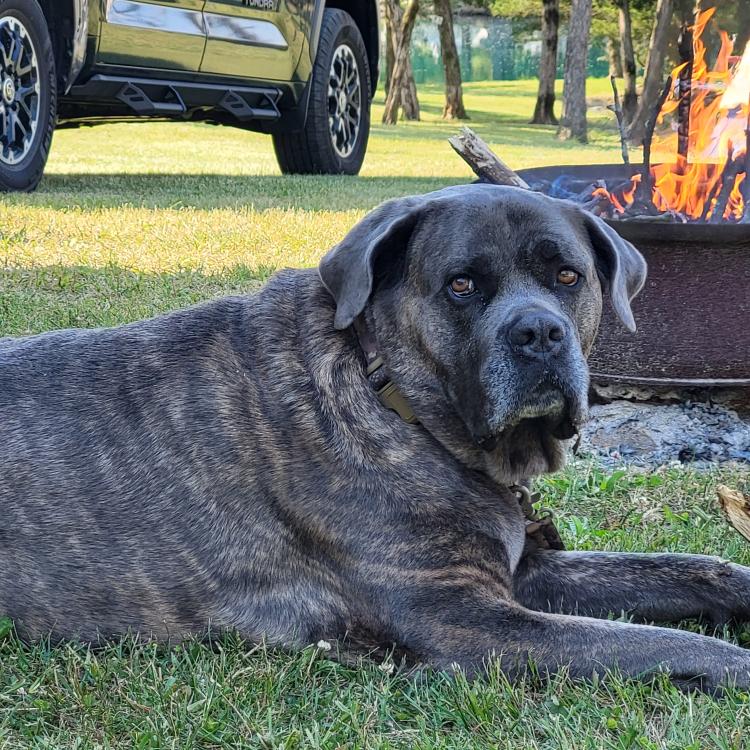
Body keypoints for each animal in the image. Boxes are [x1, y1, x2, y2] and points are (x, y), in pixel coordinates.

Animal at [1, 184, 750, 692]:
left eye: (567, 275)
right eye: (461, 286)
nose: (538, 331)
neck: (398, 403)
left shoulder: (523, 570)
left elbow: (693, 569)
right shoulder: (463, 617)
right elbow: (658, 643)